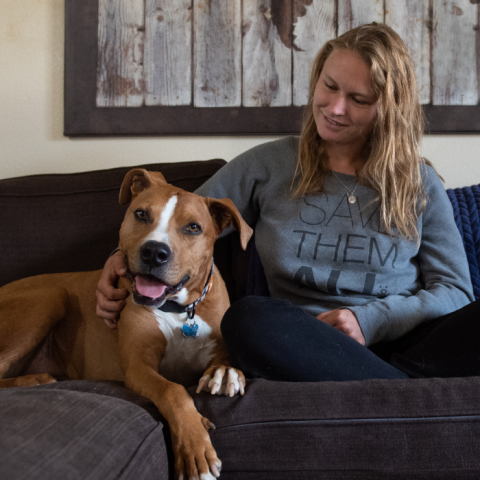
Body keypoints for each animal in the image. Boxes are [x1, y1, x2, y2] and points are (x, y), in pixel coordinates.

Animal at [0, 170, 253, 480]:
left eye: (193, 227)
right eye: (141, 214)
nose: (154, 251)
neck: (178, 310)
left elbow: (224, 359)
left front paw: (225, 374)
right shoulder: (137, 366)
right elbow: (173, 390)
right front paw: (195, 451)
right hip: (50, 296)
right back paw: (34, 380)